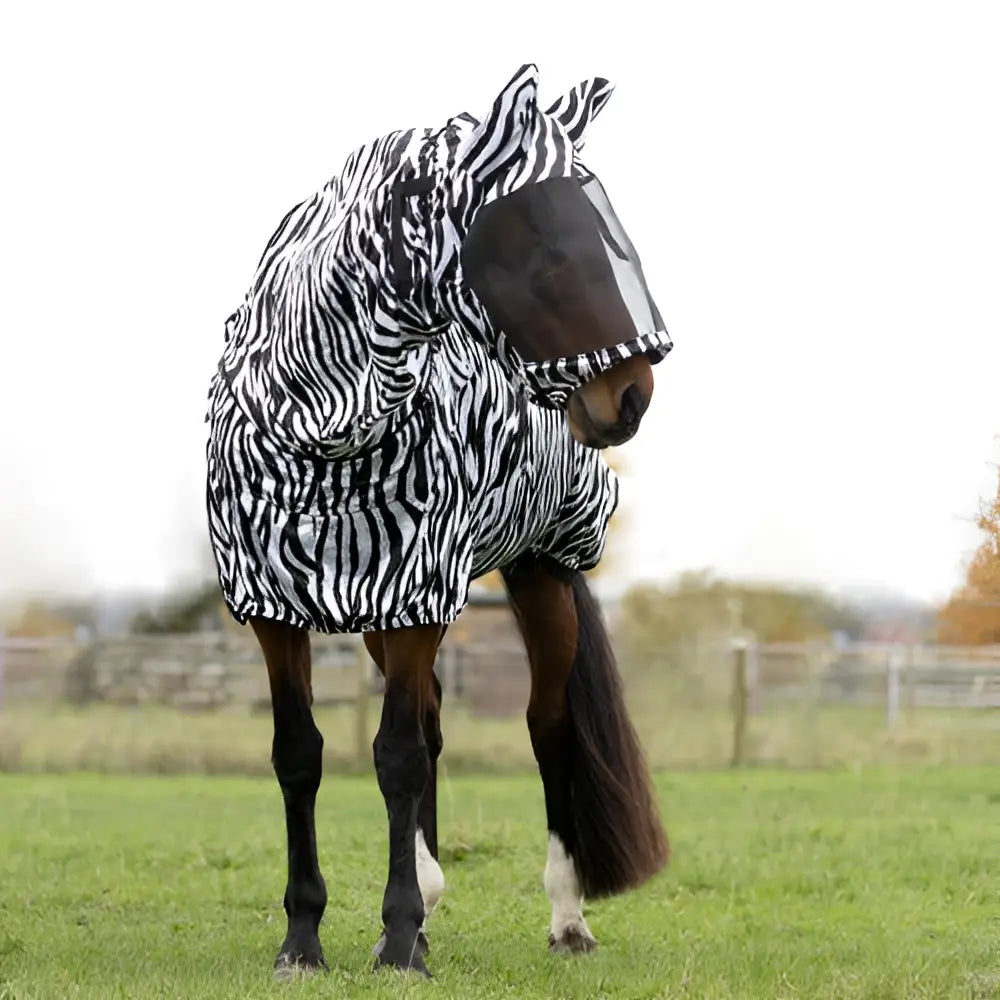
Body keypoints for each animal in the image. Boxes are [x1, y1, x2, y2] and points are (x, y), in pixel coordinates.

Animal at [206, 63, 672, 978]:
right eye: (546, 241)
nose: (633, 395)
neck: (320, 426)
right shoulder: (279, 608)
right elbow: (302, 756)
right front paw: (306, 939)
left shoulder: (418, 595)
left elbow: (396, 757)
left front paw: (396, 943)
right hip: (387, 617)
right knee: (430, 723)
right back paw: (426, 899)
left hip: (538, 577)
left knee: (545, 730)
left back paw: (565, 918)